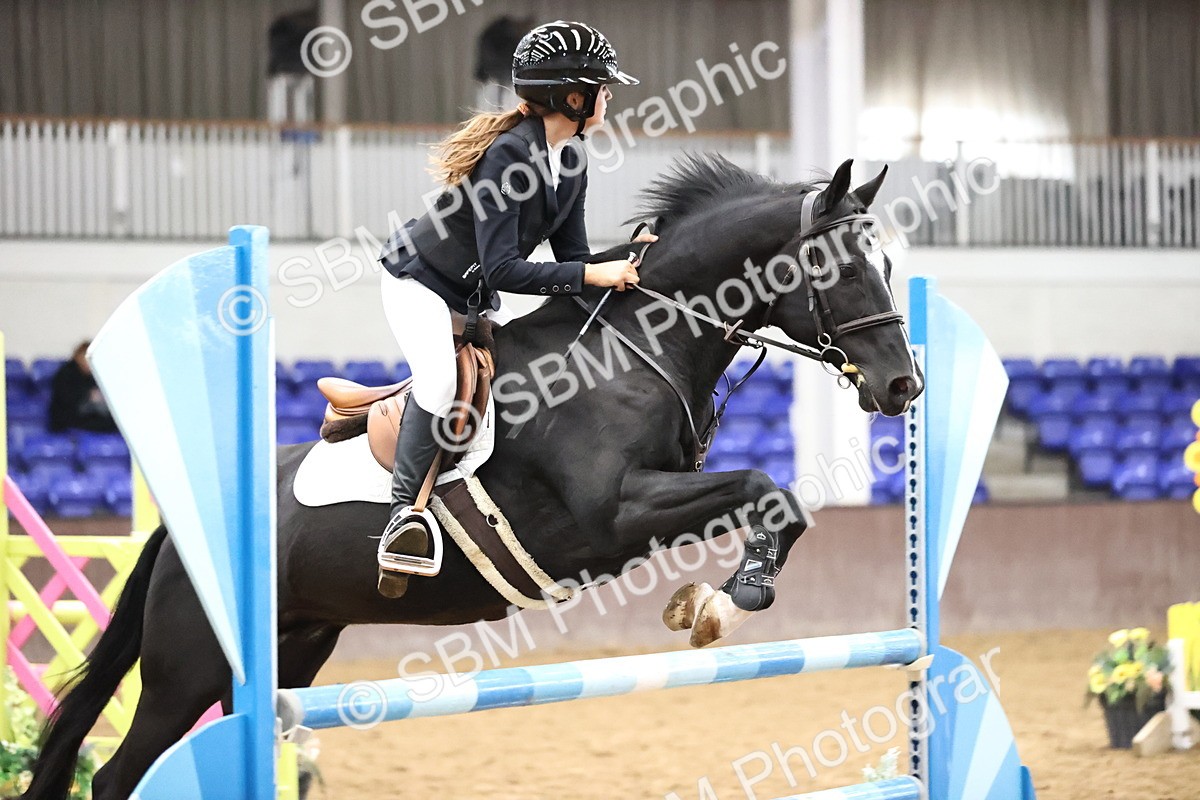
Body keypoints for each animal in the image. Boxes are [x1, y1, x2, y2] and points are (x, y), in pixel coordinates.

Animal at [23, 155, 922, 799]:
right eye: (844, 268)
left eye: (884, 264)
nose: (902, 387)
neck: (637, 347)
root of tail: (179, 533)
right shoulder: (611, 515)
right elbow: (767, 489)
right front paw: (728, 603)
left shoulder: (644, 512)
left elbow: (776, 501)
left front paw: (709, 601)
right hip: (192, 666)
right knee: (117, 773)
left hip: (292, 653)